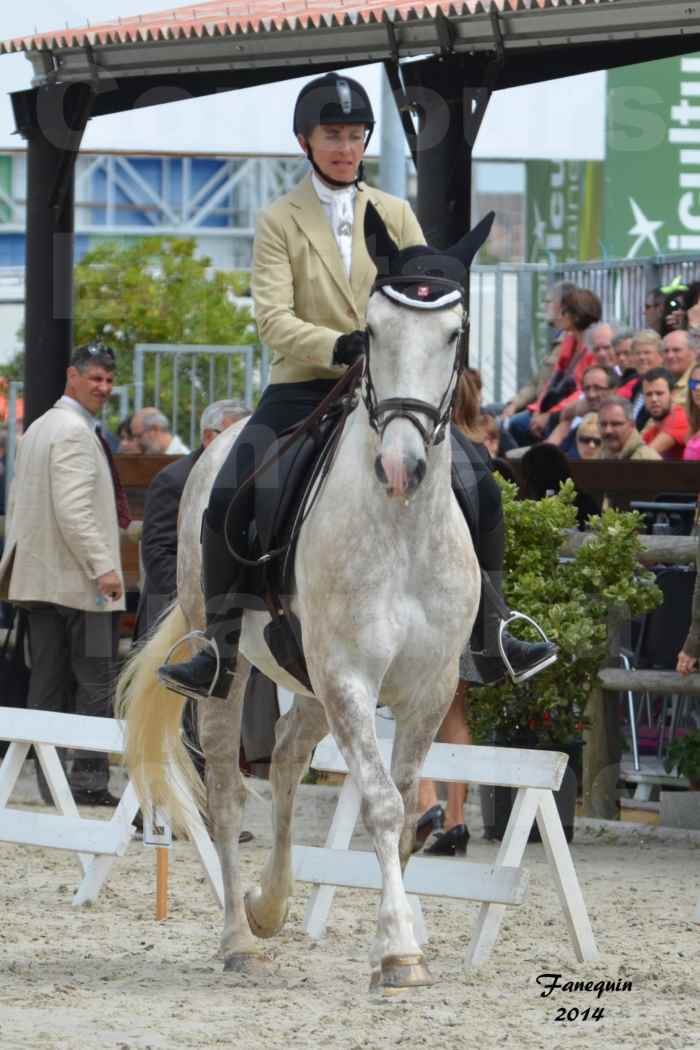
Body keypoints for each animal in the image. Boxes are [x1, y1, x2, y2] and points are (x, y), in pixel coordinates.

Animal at [117, 215, 484, 991]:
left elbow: (406, 797)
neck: (401, 527)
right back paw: (240, 937)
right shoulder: (348, 677)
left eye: (454, 334)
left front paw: (397, 935)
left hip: (309, 679)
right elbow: (380, 802)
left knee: (286, 755)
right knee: (227, 791)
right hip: (234, 668)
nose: (401, 467)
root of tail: (211, 448)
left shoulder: (428, 687)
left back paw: (269, 905)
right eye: (370, 331)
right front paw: (399, 952)